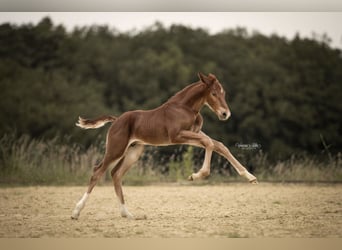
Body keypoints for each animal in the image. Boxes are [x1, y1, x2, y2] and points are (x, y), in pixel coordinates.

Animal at [71, 73, 256, 221]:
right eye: (213, 93)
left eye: (223, 93)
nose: (225, 114)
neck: (185, 107)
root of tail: (116, 120)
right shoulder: (177, 136)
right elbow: (210, 144)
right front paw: (196, 175)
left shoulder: (194, 134)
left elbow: (219, 145)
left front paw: (249, 176)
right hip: (116, 149)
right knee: (97, 172)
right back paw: (76, 212)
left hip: (133, 151)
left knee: (116, 174)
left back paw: (127, 214)